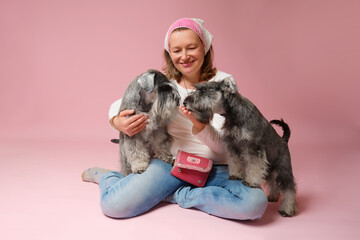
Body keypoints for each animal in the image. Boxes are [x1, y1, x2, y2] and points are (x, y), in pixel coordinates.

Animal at [184, 79, 296, 218]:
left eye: (204, 90)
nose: (185, 102)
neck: (233, 114)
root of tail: (283, 140)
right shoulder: (233, 146)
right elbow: (236, 162)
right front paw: (236, 175)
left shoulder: (254, 148)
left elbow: (254, 166)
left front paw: (250, 182)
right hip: (270, 167)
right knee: (272, 181)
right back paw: (273, 196)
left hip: (283, 168)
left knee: (289, 188)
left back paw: (287, 210)